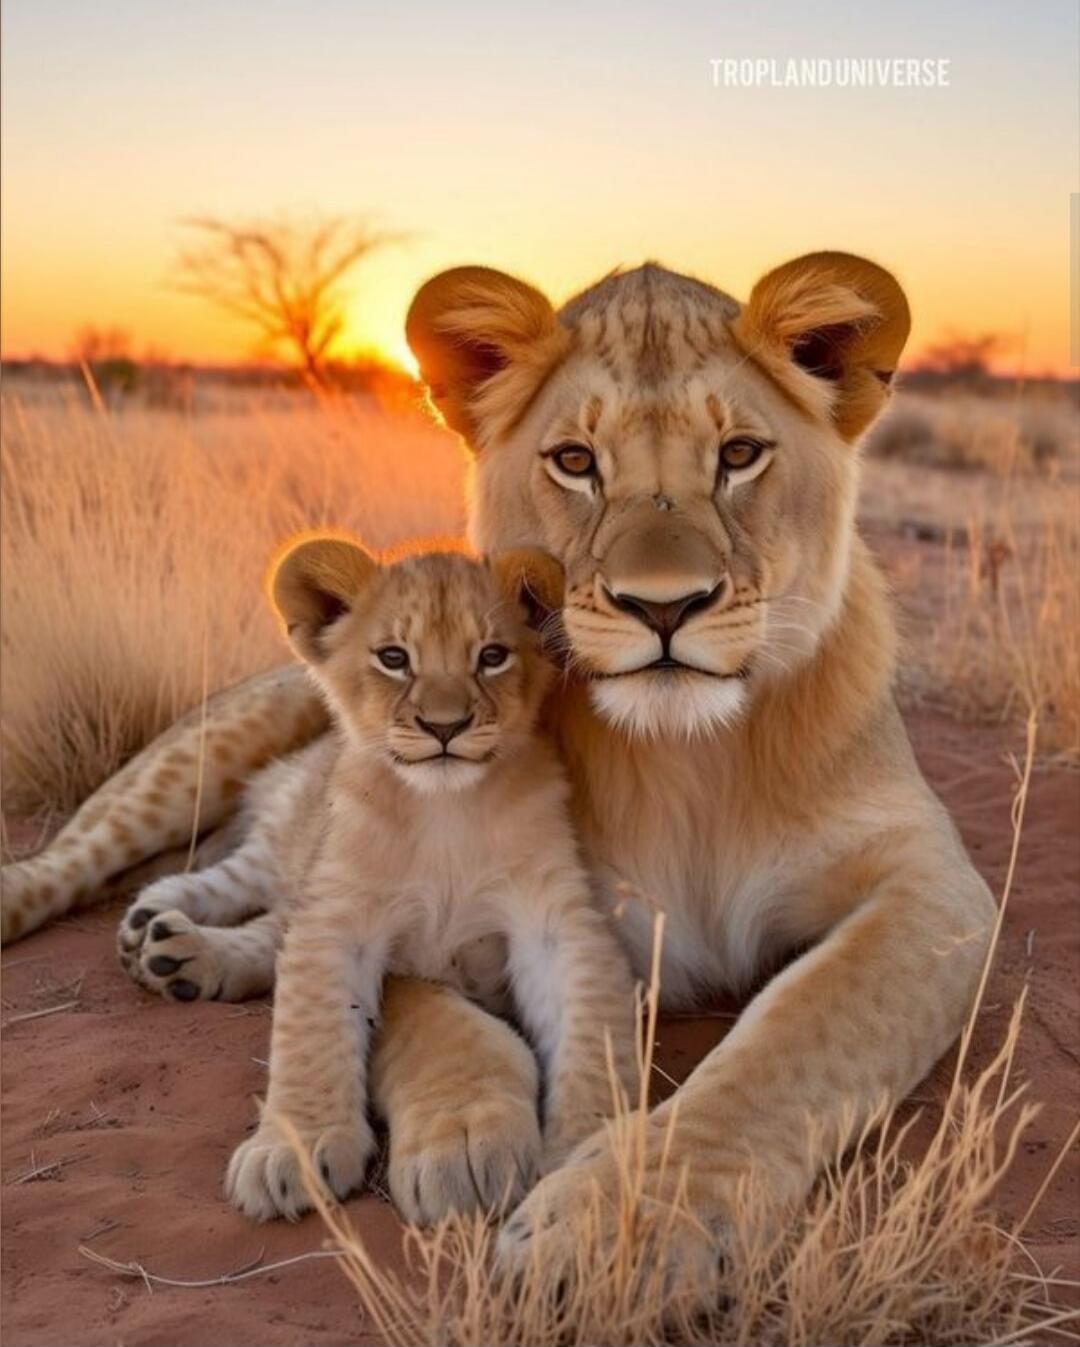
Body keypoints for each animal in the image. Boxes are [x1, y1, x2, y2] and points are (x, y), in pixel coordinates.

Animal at [1, 252, 995, 1269]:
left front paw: (615, 1231)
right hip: (198, 753)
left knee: (270, 916)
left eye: (740, 454)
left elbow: (796, 1033)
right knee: (88, 856)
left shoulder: (936, 890)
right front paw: (465, 1141)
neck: (689, 761)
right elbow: (427, 1009)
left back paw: (179, 948)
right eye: (576, 462)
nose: (663, 606)